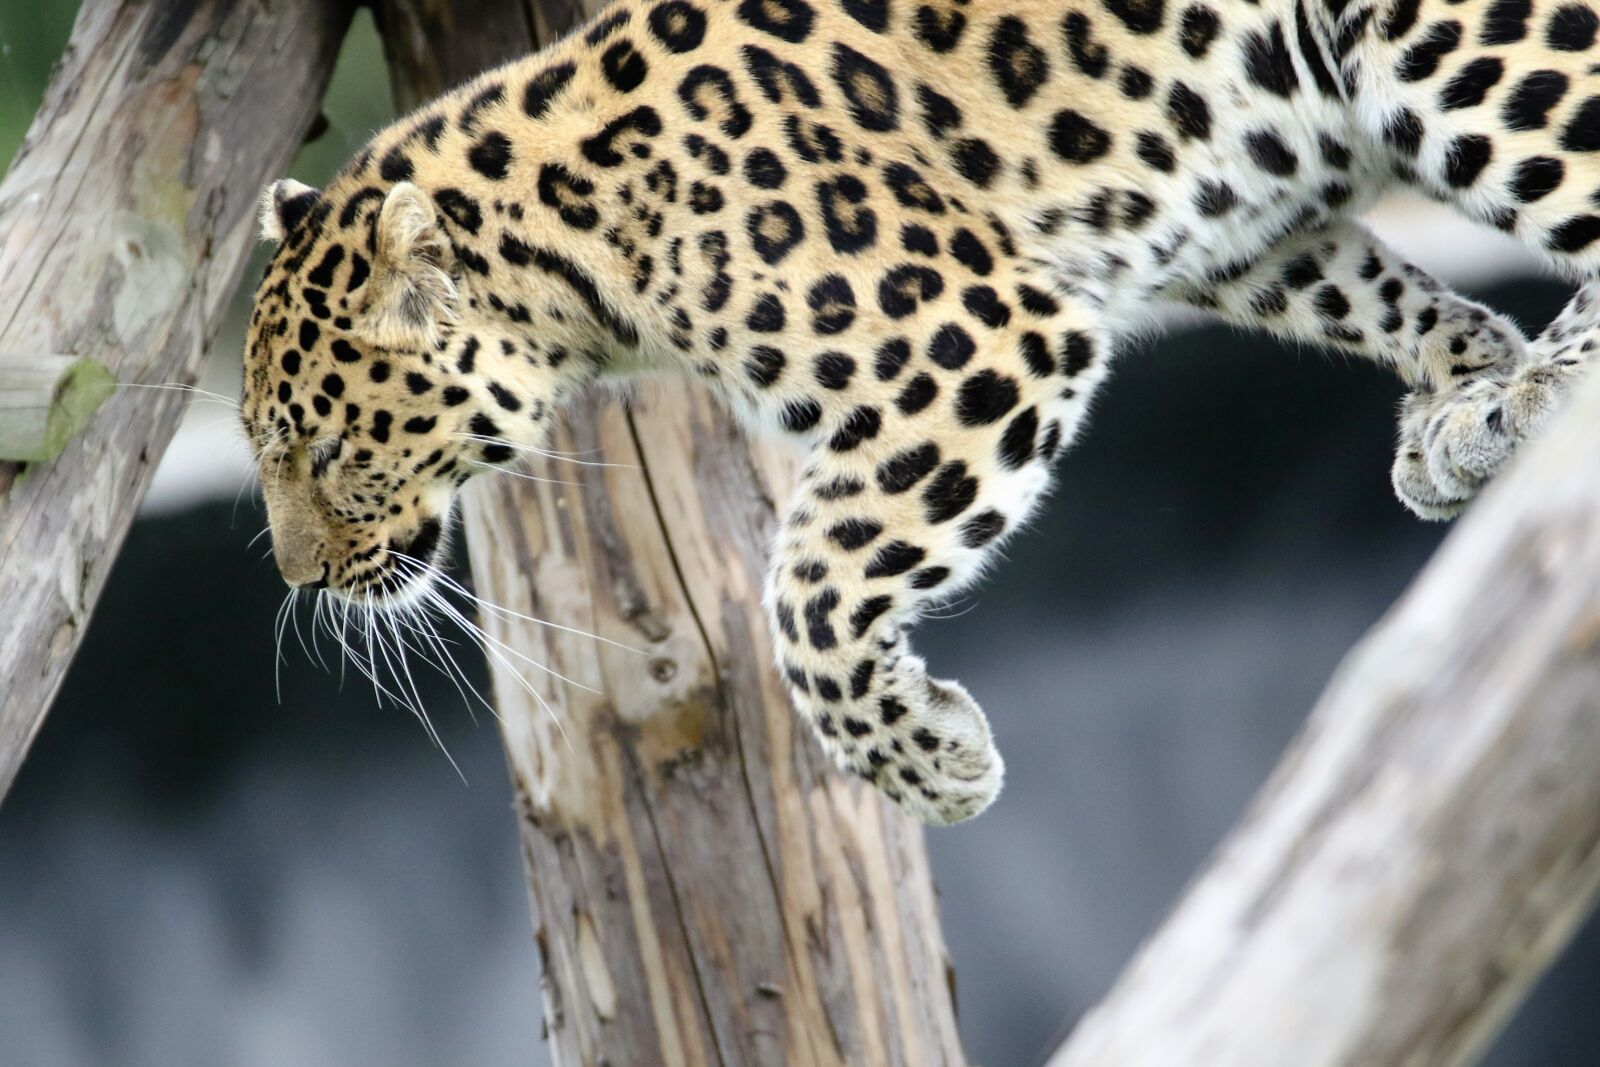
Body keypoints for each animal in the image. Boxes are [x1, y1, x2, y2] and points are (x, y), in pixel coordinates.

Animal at [242, 0, 1600, 824]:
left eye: (327, 447)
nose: (301, 577)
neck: (575, 246)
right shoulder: (1226, 215)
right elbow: (1365, 285)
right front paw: (1465, 385)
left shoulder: (979, 339)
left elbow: (807, 590)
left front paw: (930, 760)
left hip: (1465, 42)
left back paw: (1555, 385)